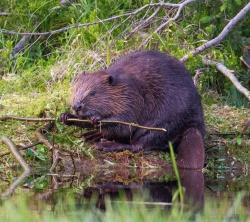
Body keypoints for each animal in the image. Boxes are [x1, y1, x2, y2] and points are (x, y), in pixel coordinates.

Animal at [60, 49, 205, 168]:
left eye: (92, 93)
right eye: (75, 89)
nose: (77, 106)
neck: (122, 85)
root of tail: (195, 127)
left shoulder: (132, 97)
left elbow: (126, 123)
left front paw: (97, 119)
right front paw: (65, 116)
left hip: (164, 123)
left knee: (139, 145)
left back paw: (106, 144)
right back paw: (92, 135)